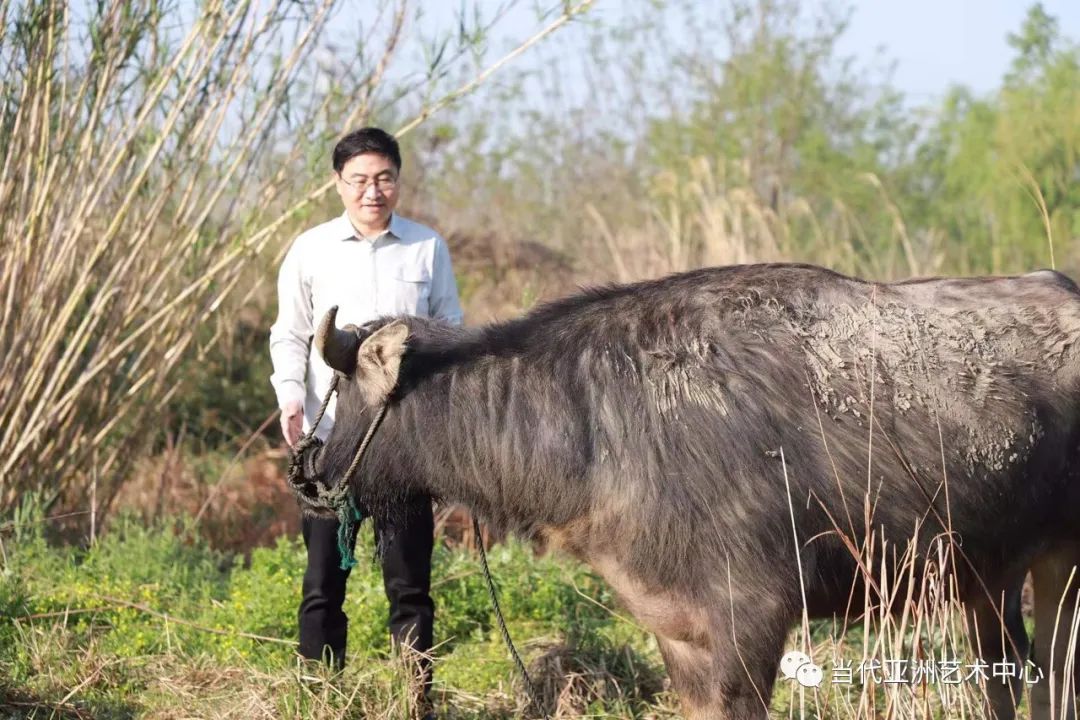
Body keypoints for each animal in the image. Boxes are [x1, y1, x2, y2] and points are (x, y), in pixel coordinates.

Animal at [302, 264, 1080, 720]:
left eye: (339, 390)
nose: (311, 472)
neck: (598, 427)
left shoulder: (751, 619)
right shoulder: (677, 629)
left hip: (1062, 562)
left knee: (1054, 673)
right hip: (990, 575)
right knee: (1013, 674)